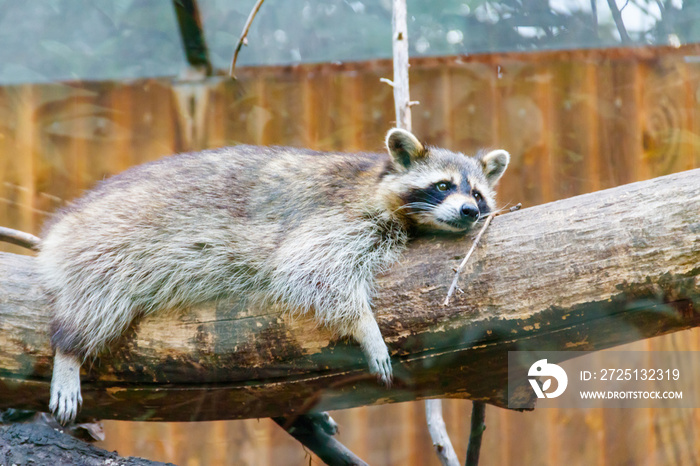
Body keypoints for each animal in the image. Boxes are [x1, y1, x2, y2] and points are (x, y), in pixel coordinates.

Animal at [38, 127, 508, 422]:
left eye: (477, 193)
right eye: (444, 186)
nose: (469, 211)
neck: (377, 179)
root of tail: (64, 224)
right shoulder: (335, 215)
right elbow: (312, 268)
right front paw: (365, 326)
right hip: (111, 244)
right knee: (97, 299)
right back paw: (70, 349)